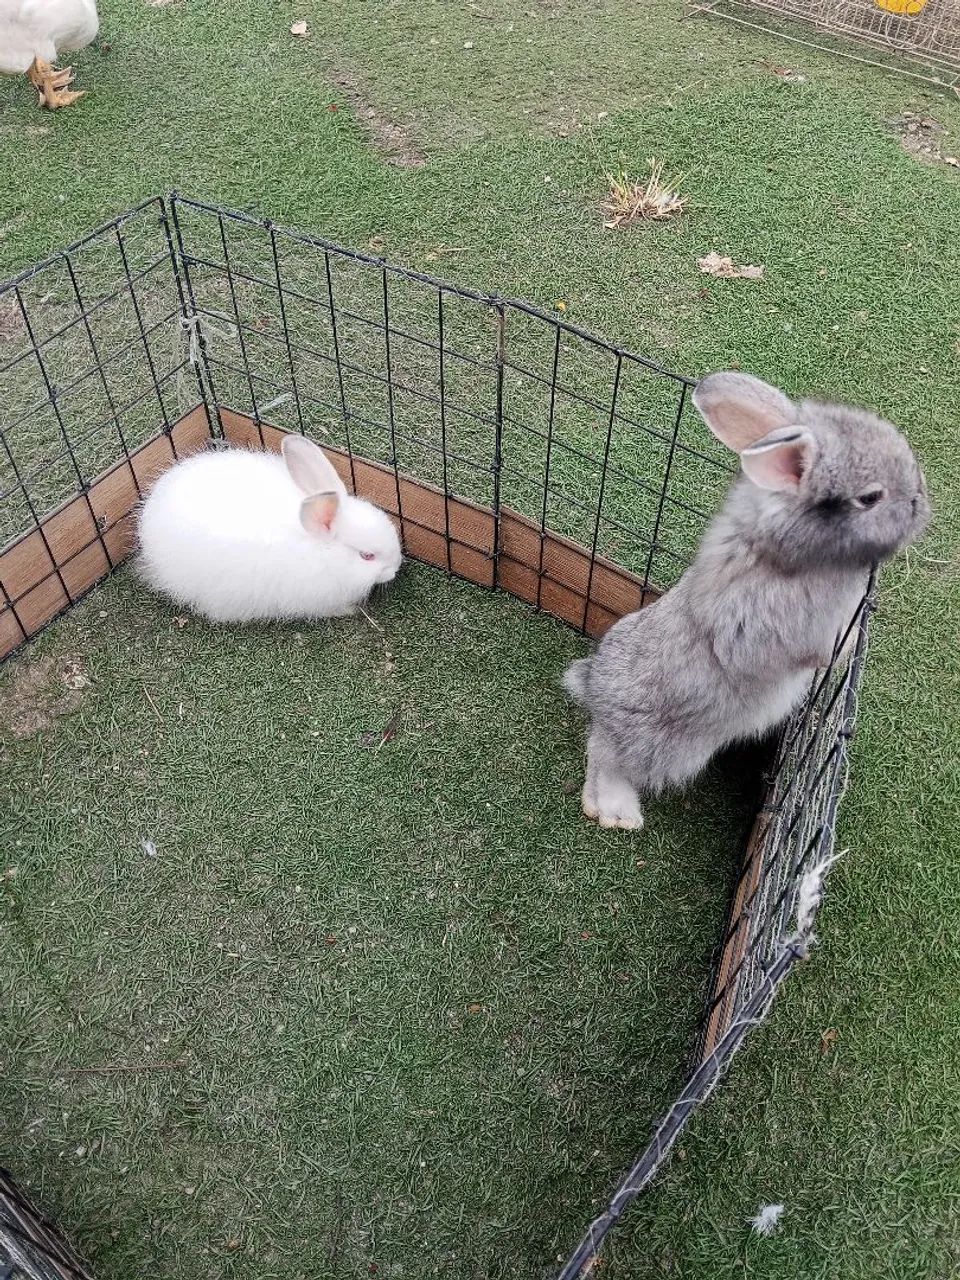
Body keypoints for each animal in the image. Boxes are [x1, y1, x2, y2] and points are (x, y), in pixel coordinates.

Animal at [563, 371, 929, 831]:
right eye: (870, 497)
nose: (922, 503)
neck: (783, 553)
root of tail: (592, 687)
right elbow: (819, 653)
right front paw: (845, 653)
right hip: (657, 744)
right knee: (604, 754)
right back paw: (617, 812)